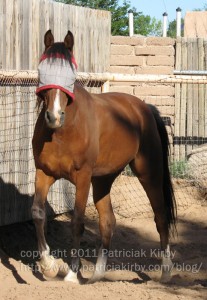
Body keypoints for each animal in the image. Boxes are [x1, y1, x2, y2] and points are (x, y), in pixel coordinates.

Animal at [32, 29, 176, 284]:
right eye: (42, 69)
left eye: (70, 73)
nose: (53, 116)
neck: (63, 131)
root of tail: (146, 109)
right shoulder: (44, 173)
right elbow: (38, 213)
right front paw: (49, 266)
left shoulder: (82, 177)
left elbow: (77, 221)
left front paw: (71, 274)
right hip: (103, 180)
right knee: (108, 221)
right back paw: (96, 275)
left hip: (148, 173)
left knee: (160, 216)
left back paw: (166, 272)